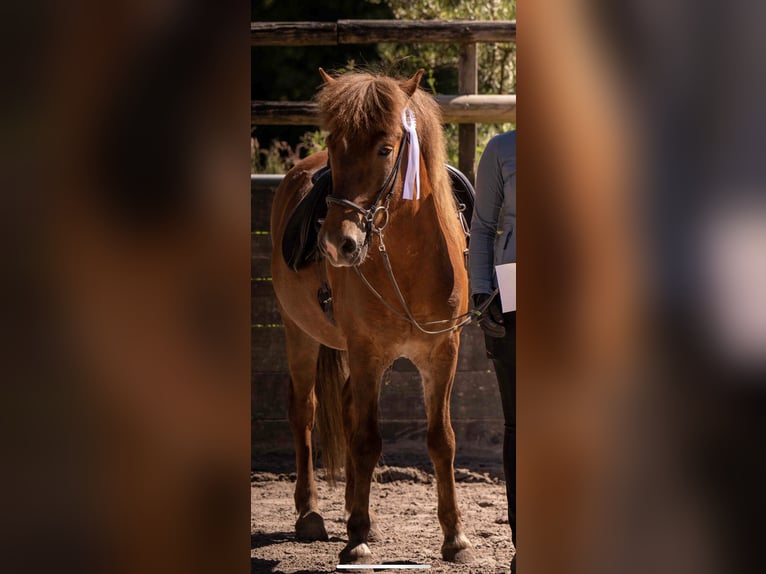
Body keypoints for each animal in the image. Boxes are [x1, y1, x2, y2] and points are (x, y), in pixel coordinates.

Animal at [270, 68, 474, 565]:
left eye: (385, 149)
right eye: (335, 143)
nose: (336, 243)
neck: (408, 262)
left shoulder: (443, 353)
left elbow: (441, 439)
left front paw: (454, 537)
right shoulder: (366, 353)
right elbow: (366, 439)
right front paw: (357, 538)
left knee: (344, 409)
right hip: (298, 333)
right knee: (305, 412)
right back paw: (312, 514)